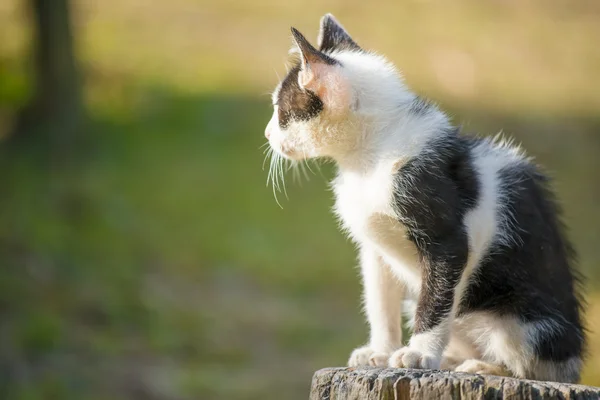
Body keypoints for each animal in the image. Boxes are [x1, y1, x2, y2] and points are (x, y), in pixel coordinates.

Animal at [264, 14, 584, 382]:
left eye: (281, 111)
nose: (268, 134)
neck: (368, 158)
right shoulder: (374, 249)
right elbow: (379, 299)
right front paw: (379, 350)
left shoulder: (447, 238)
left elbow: (435, 299)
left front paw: (418, 354)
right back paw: (453, 360)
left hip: (525, 323)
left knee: (531, 364)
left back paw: (486, 367)